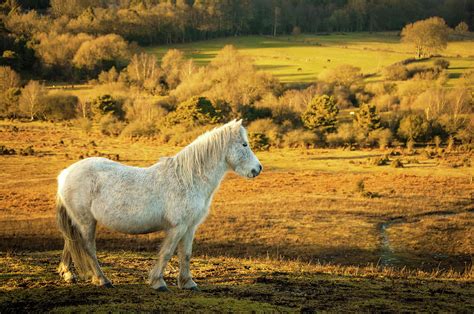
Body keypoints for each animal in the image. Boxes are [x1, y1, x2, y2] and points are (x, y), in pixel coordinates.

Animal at [57, 119, 262, 290]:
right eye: (244, 144)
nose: (258, 169)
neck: (188, 179)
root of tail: (66, 173)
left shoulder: (190, 227)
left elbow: (186, 254)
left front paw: (187, 283)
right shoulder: (177, 227)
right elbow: (167, 253)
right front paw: (158, 282)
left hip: (79, 222)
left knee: (70, 242)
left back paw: (68, 274)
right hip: (86, 222)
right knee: (88, 248)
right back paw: (102, 280)